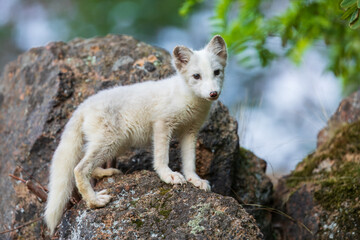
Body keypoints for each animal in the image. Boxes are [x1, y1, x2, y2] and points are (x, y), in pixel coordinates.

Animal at [43, 35, 226, 234]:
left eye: (217, 72)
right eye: (196, 76)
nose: (213, 93)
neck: (189, 100)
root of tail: (84, 105)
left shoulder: (190, 132)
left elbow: (190, 161)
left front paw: (195, 180)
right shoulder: (162, 124)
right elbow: (161, 157)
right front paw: (168, 175)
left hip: (115, 144)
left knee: (87, 162)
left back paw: (106, 173)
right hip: (110, 141)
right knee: (79, 168)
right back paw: (95, 201)